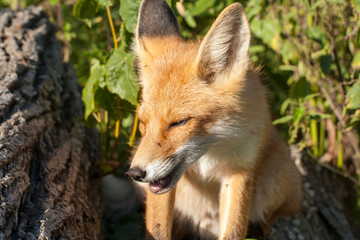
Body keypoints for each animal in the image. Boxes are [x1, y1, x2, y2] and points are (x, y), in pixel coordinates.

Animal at [128, 0, 302, 239]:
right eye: (143, 123)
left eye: (179, 122)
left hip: (276, 180)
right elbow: (157, 229)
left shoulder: (240, 169)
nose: (135, 173)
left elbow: (234, 229)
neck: (209, 154)